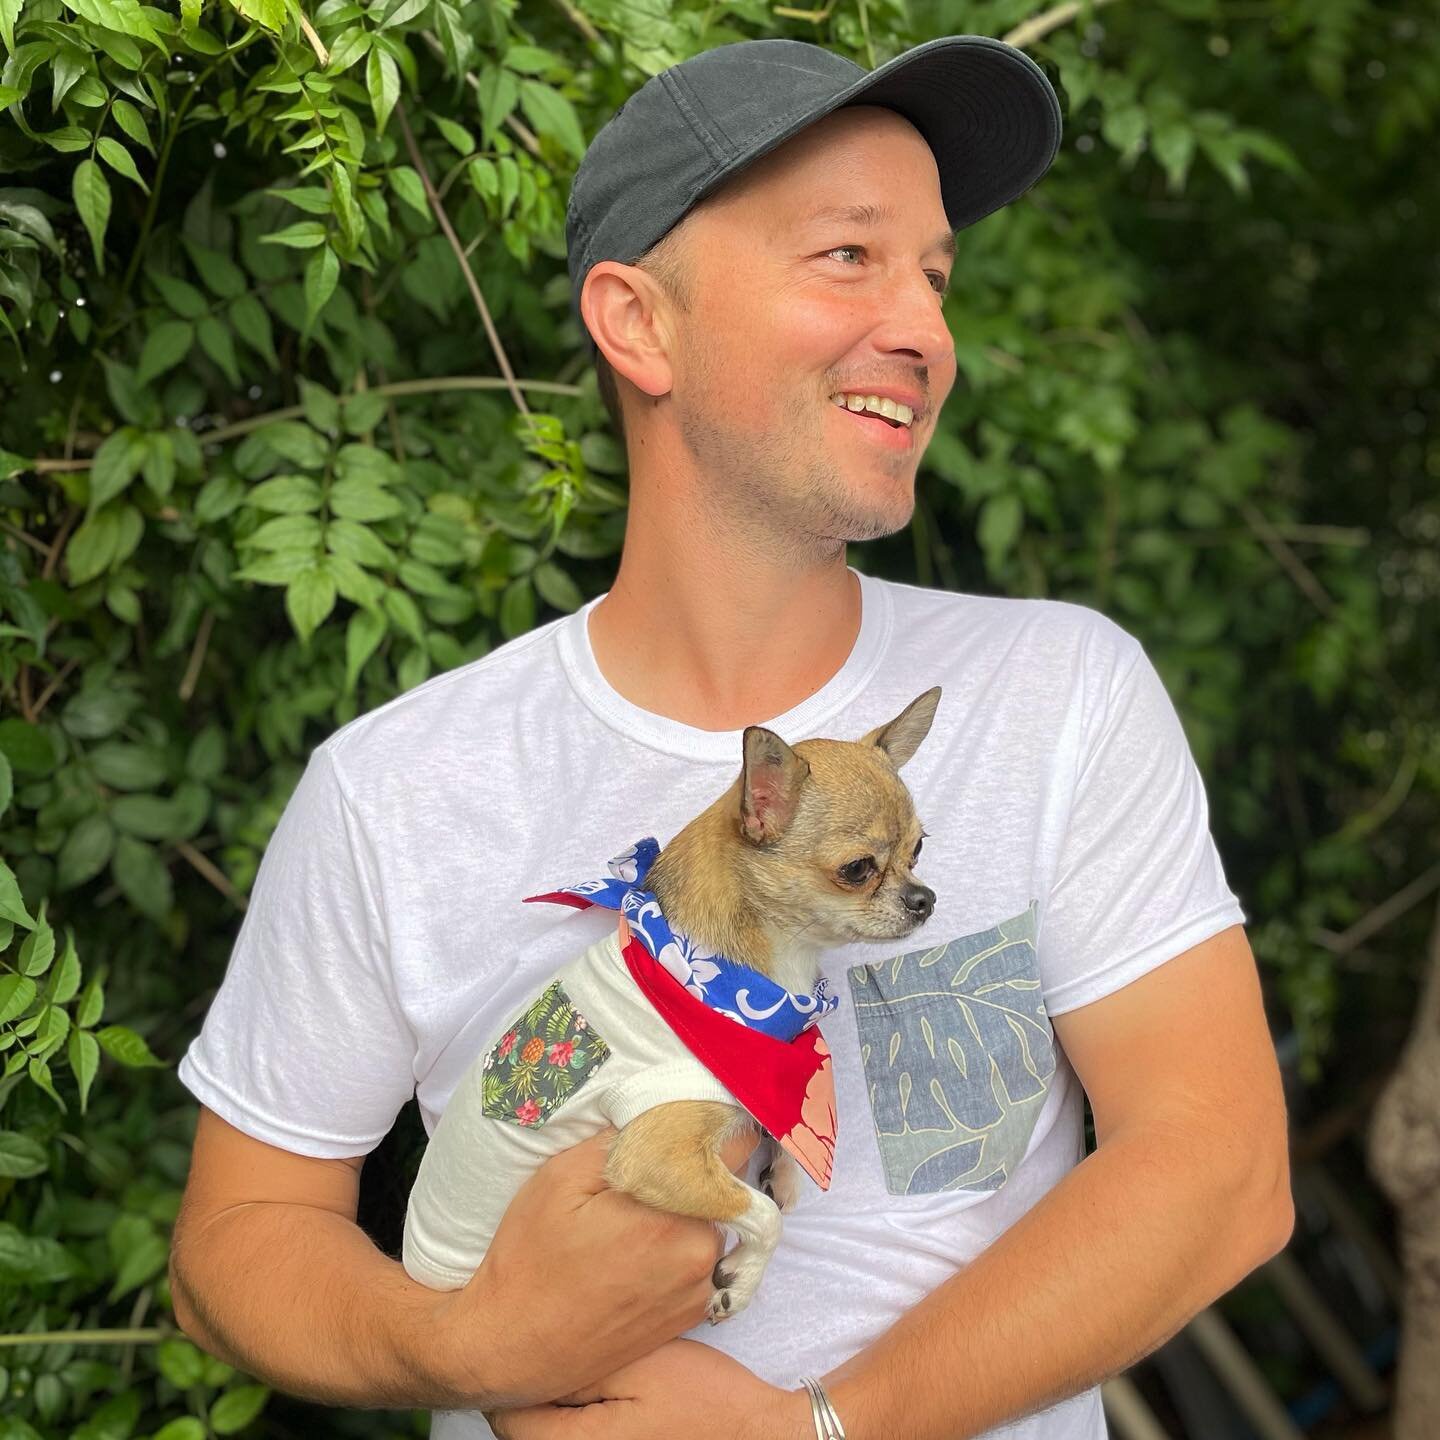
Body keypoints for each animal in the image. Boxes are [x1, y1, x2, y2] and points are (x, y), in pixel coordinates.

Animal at [403, 691, 944, 1319]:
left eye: (919, 849)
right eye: (857, 869)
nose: (926, 899)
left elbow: (776, 1133)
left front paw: (784, 1172)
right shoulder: (655, 1157)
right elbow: (763, 1218)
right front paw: (744, 1279)